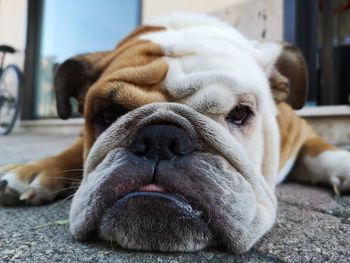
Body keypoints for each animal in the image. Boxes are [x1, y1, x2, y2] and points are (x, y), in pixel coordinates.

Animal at [0, 13, 350, 253]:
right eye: (107, 115)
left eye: (239, 114)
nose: (160, 139)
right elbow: (72, 152)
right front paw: (32, 171)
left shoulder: (301, 129)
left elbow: (319, 149)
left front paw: (342, 165)